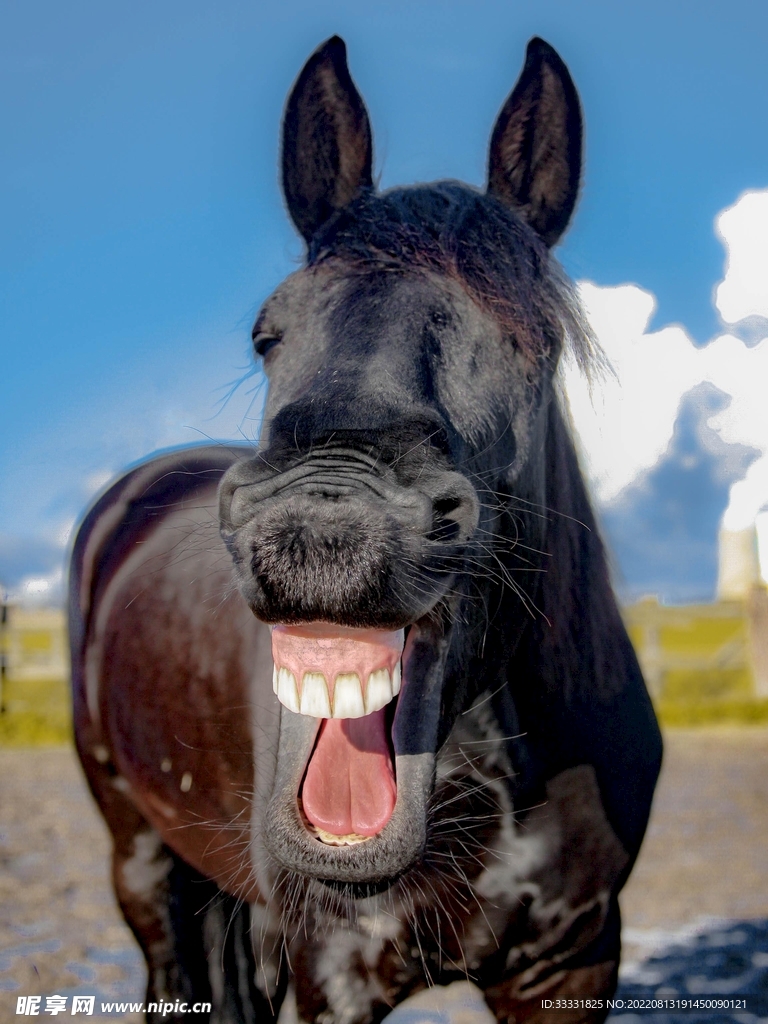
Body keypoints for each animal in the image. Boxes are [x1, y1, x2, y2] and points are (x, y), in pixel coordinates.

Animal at [69, 36, 662, 1024]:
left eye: (531, 340)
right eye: (268, 333)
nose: (321, 524)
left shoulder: (572, 964)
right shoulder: (329, 970)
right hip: (140, 862)